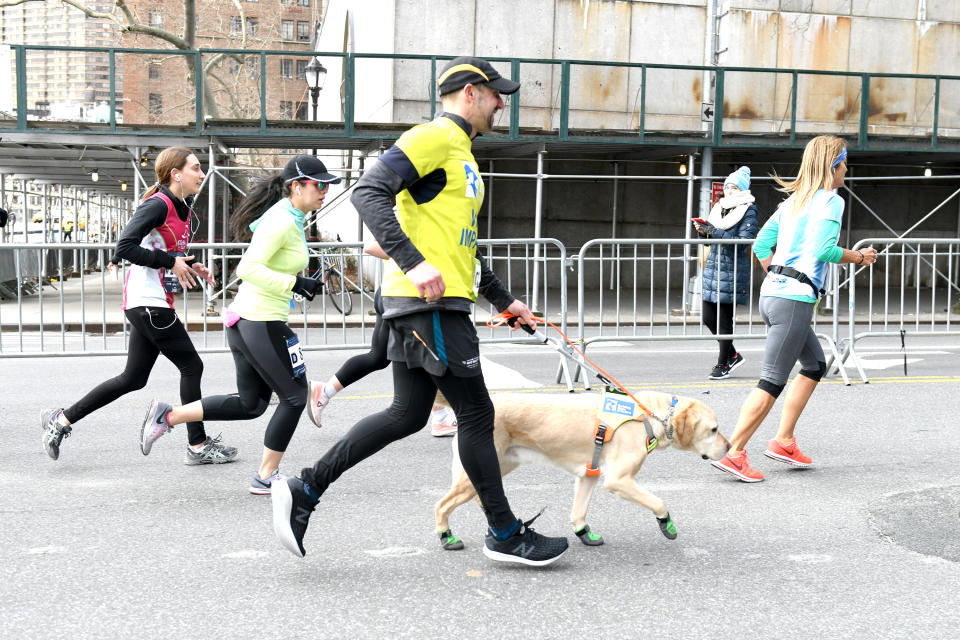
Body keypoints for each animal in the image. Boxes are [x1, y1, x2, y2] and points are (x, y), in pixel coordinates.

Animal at [434, 390, 728, 552]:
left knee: (480, 495)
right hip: (475, 471)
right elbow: (658, 501)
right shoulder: (618, 480)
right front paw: (666, 523)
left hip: (498, 465)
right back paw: (446, 537)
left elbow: (579, 511)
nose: (729, 447)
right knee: (442, 505)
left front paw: (583, 533)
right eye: (713, 430)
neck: (650, 416)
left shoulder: (588, 475)